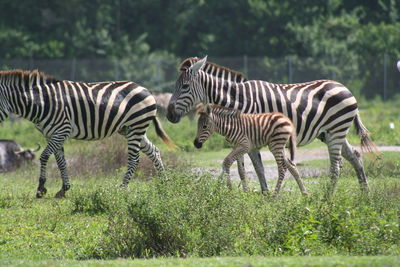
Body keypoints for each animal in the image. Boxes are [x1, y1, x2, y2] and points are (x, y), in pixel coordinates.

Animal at [0, 70, 175, 199]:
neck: (42, 102)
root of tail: (145, 89)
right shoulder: (52, 134)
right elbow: (61, 162)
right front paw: (63, 189)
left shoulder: (62, 130)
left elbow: (44, 156)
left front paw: (41, 188)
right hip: (131, 129)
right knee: (154, 151)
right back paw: (164, 184)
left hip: (136, 126)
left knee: (134, 159)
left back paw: (122, 188)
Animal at [166, 56, 378, 193]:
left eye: (184, 86)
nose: (168, 115)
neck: (238, 100)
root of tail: (344, 87)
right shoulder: (242, 137)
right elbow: (242, 169)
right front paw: (247, 194)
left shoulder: (251, 135)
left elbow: (258, 167)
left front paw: (265, 194)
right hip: (330, 133)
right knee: (355, 156)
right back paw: (365, 194)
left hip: (336, 129)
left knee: (336, 167)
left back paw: (327, 199)